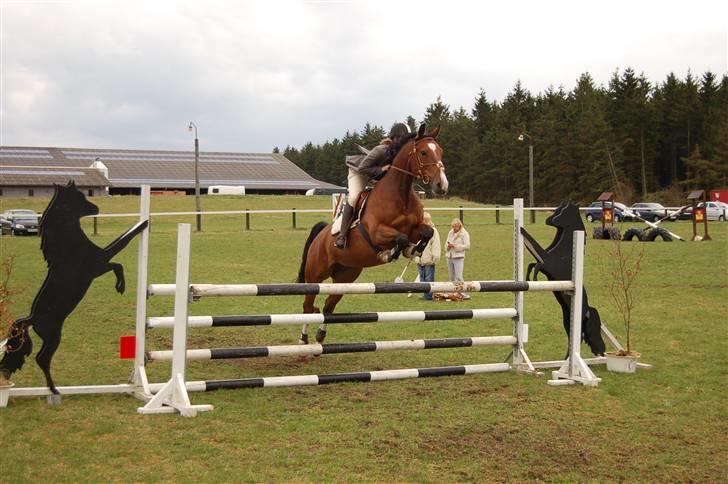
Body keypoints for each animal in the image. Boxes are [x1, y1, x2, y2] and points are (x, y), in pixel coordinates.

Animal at [0, 182, 148, 394]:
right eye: (79, 198)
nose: (97, 209)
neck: (68, 247)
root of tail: (31, 319)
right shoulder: (98, 263)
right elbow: (120, 253)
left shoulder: (99, 264)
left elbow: (119, 254)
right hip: (53, 336)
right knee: (42, 358)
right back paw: (54, 390)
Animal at [298, 125, 450, 344]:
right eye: (423, 152)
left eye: (440, 152)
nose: (441, 185)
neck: (401, 194)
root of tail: (320, 236)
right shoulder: (376, 232)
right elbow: (400, 238)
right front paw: (389, 254)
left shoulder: (415, 229)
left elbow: (426, 232)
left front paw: (412, 251)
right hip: (315, 274)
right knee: (308, 306)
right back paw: (303, 338)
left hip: (346, 277)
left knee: (328, 306)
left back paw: (320, 335)